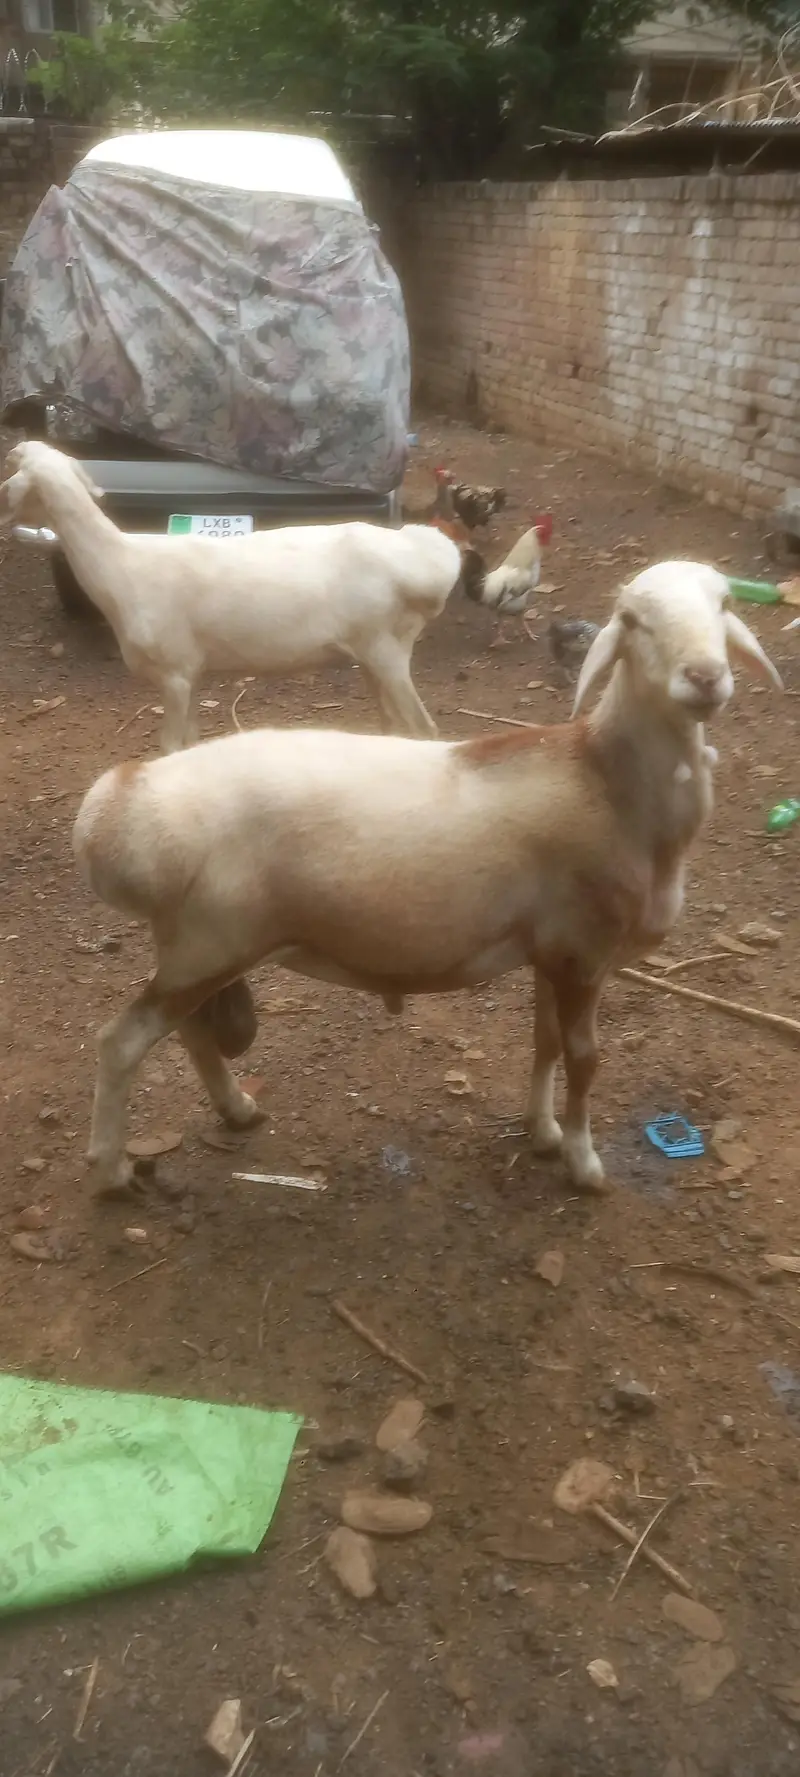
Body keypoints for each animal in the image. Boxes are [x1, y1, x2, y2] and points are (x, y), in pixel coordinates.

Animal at [0, 441, 467, 749]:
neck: (120, 568)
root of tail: (431, 558)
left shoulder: (174, 673)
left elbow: (171, 747)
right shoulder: (191, 673)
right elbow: (188, 744)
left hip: (389, 649)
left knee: (425, 731)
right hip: (371, 651)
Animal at [72, 560, 780, 1202]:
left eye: (723, 603)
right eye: (632, 620)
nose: (705, 677)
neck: (608, 781)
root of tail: (120, 809)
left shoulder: (552, 951)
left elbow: (545, 1043)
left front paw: (543, 1133)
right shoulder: (585, 951)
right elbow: (584, 1060)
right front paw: (584, 1165)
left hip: (198, 947)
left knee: (187, 1030)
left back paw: (237, 1110)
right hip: (210, 942)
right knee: (120, 1042)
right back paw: (111, 1172)